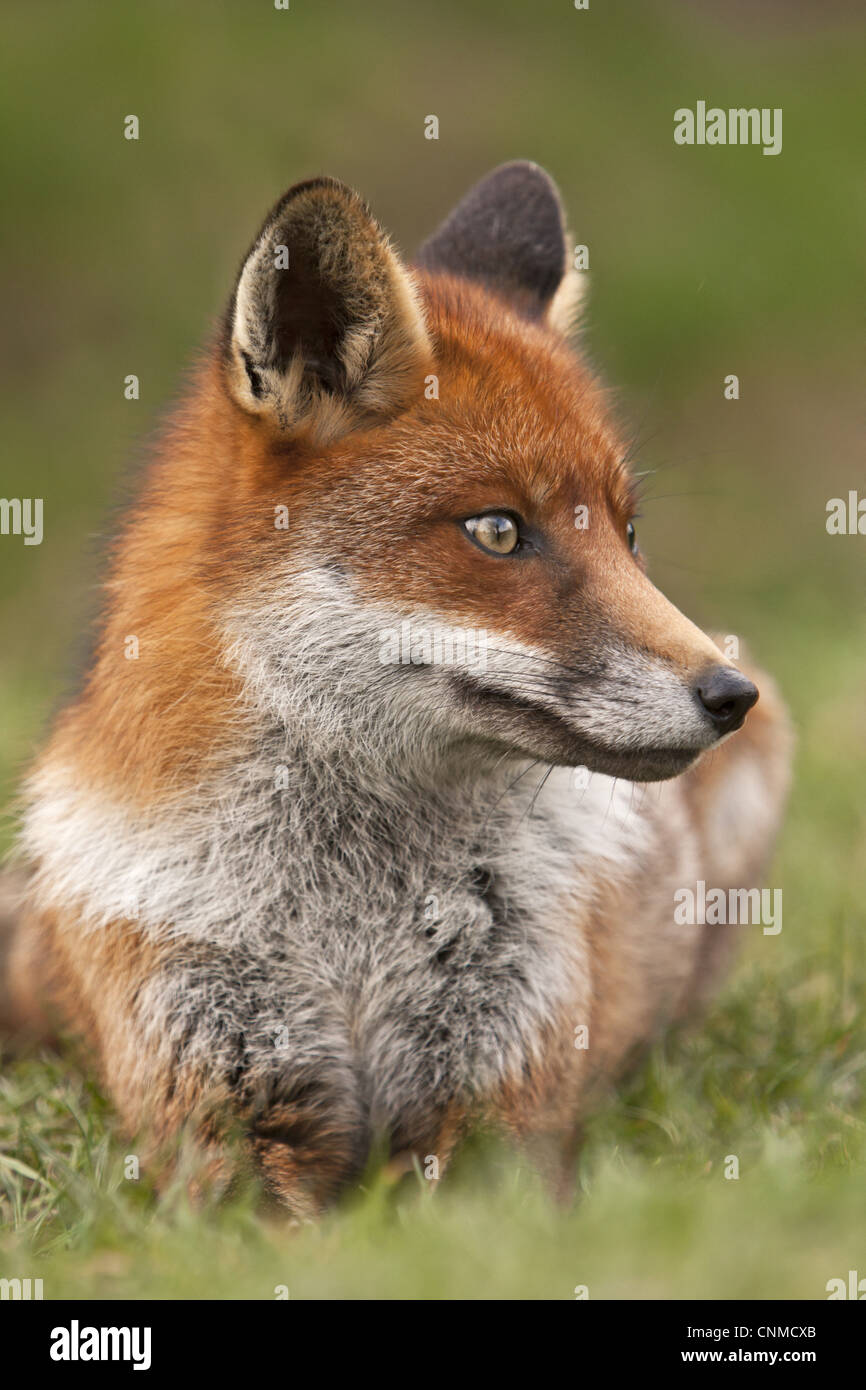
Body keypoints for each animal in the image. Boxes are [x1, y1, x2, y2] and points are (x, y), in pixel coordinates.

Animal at [0, 162, 789, 1217]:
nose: (728, 696)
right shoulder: (217, 1130)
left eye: (628, 535)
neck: (352, 926)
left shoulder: (501, 1118)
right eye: (499, 531)